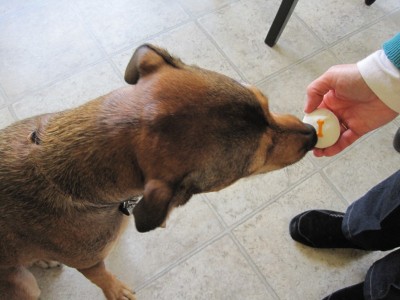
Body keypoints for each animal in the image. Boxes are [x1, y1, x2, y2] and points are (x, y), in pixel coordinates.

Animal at [0, 43, 316, 298]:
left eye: (265, 102)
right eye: (262, 155)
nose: (313, 135)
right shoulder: (89, 262)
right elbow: (102, 276)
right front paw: (116, 290)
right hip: (26, 287)